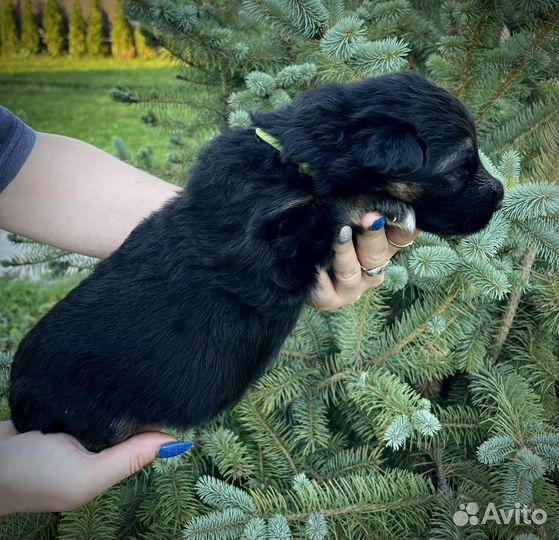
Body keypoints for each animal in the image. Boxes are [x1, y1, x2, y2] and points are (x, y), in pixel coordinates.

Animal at [9, 73, 508, 452]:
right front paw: (375, 201)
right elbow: (329, 206)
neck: (291, 161)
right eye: (460, 168)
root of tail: (16, 401)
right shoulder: (268, 254)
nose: (502, 194)